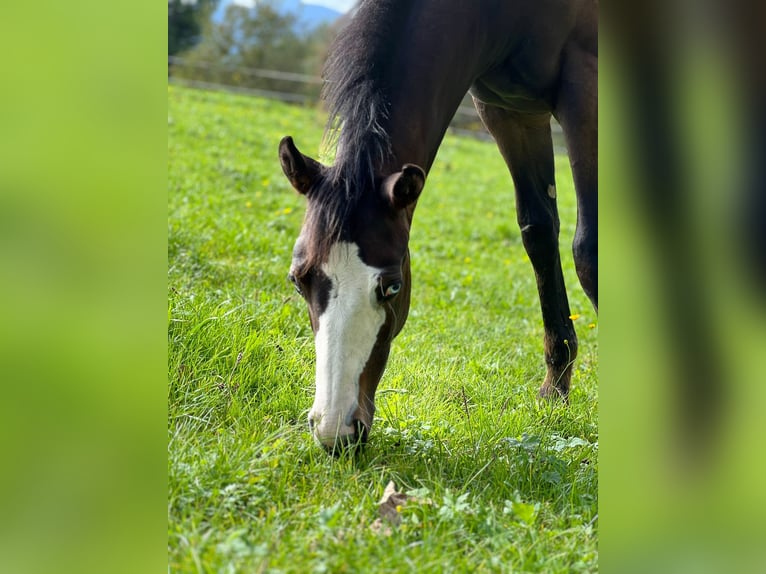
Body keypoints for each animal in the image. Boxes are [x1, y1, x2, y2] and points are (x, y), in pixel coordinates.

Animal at [278, 0, 597, 452]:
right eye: (297, 280)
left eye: (392, 287)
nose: (335, 431)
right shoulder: (509, 112)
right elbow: (538, 232)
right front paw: (555, 389)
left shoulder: (587, 85)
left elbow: (589, 252)